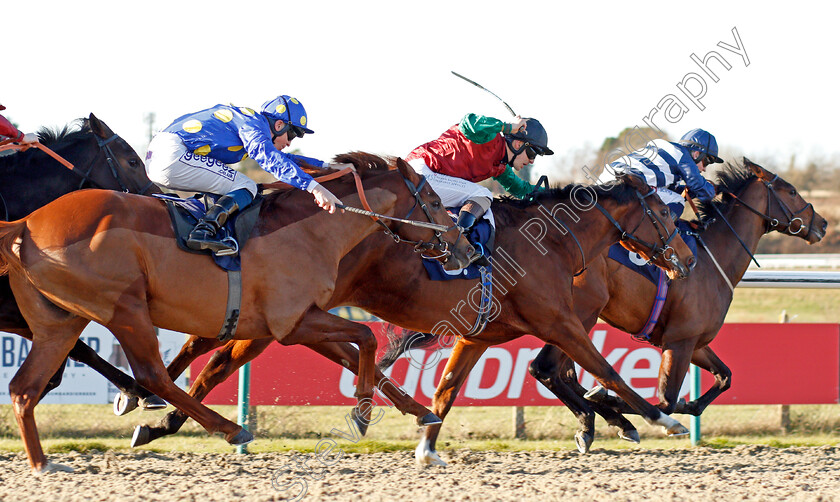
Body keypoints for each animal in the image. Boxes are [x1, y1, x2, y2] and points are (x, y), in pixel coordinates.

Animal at [0, 116, 162, 408]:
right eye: (133, 161)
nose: (155, 200)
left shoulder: (22, 315)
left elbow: (74, 358)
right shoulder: (17, 313)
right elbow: (79, 354)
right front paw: (142, 391)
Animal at [0, 155, 472, 472]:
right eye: (433, 200)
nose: (465, 248)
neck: (312, 230)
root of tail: (25, 223)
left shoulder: (295, 322)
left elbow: (360, 354)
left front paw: (416, 411)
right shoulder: (292, 322)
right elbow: (367, 339)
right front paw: (361, 414)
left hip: (60, 322)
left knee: (25, 388)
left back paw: (44, 463)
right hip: (125, 307)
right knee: (153, 376)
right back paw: (229, 427)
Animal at [120, 174, 696, 466]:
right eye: (668, 214)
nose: (688, 259)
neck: (550, 239)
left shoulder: (479, 335)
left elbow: (448, 387)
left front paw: (426, 443)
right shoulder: (560, 322)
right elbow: (607, 369)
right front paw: (659, 419)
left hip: (290, 313)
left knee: (218, 350)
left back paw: (152, 413)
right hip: (290, 310)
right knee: (219, 354)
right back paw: (153, 405)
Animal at [524, 159, 828, 452]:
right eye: (792, 191)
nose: (823, 224)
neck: (713, 256)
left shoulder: (692, 340)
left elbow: (724, 377)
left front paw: (682, 405)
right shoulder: (680, 340)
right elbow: (666, 402)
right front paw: (619, 405)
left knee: (563, 374)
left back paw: (595, 423)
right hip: (580, 315)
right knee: (550, 369)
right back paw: (599, 420)